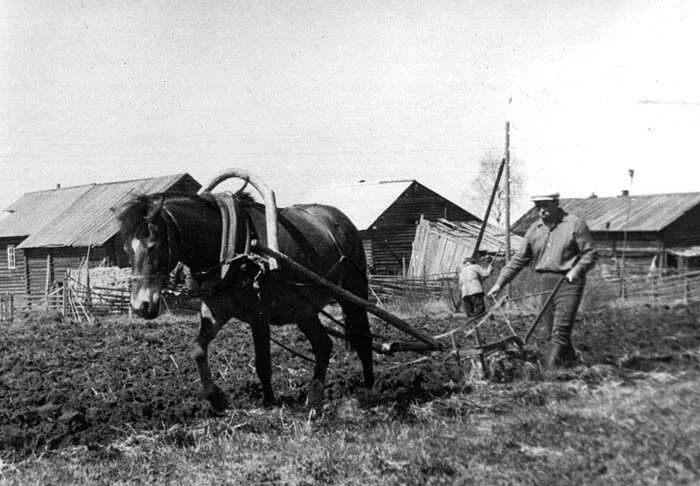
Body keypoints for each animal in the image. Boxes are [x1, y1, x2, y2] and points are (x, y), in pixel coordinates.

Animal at [115, 177, 374, 412]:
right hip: (303, 308)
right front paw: (216, 398)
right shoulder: (216, 310)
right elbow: (197, 349)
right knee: (324, 346)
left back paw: (370, 390)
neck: (232, 244)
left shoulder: (259, 313)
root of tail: (337, 219)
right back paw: (314, 398)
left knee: (363, 337)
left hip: (353, 292)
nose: (141, 306)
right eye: (126, 248)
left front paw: (269, 402)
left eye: (154, 245)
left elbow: (263, 362)